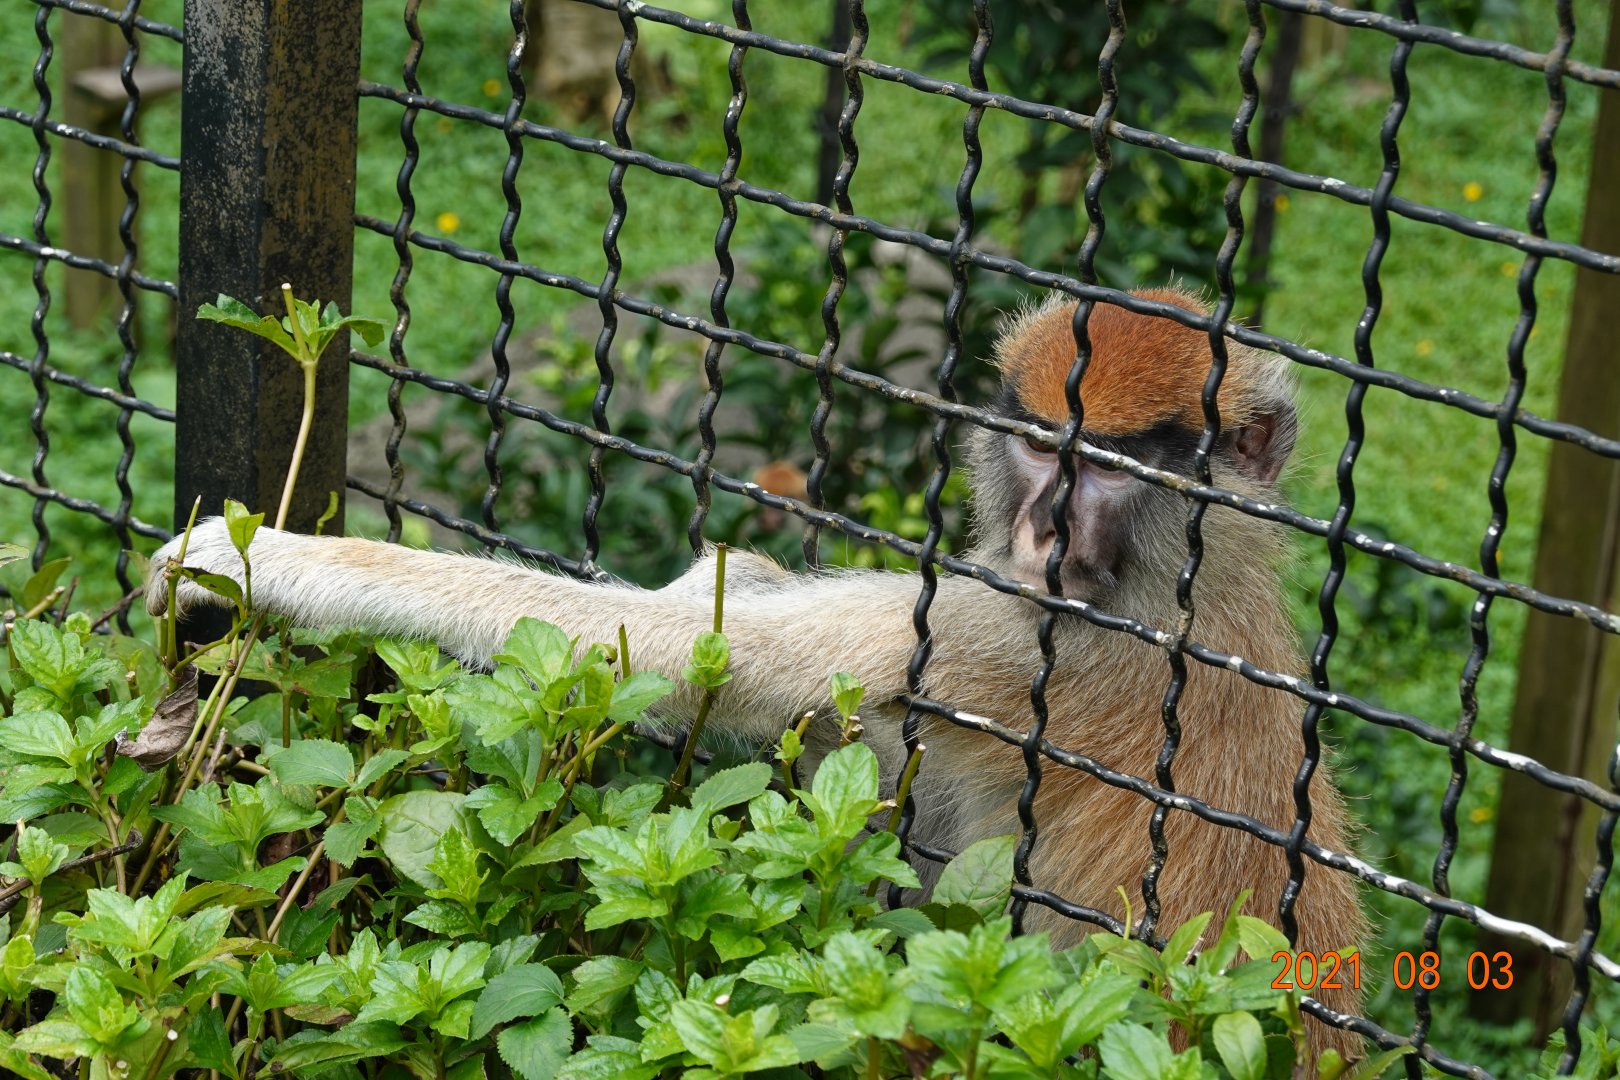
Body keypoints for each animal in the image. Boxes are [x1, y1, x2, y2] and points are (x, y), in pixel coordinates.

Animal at [147, 286, 1368, 1057]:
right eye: (1037, 447)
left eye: (1111, 470)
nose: (1044, 535)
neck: (1189, 583)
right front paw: (724, 574)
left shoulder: (1029, 644)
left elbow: (693, 662)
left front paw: (267, 563)